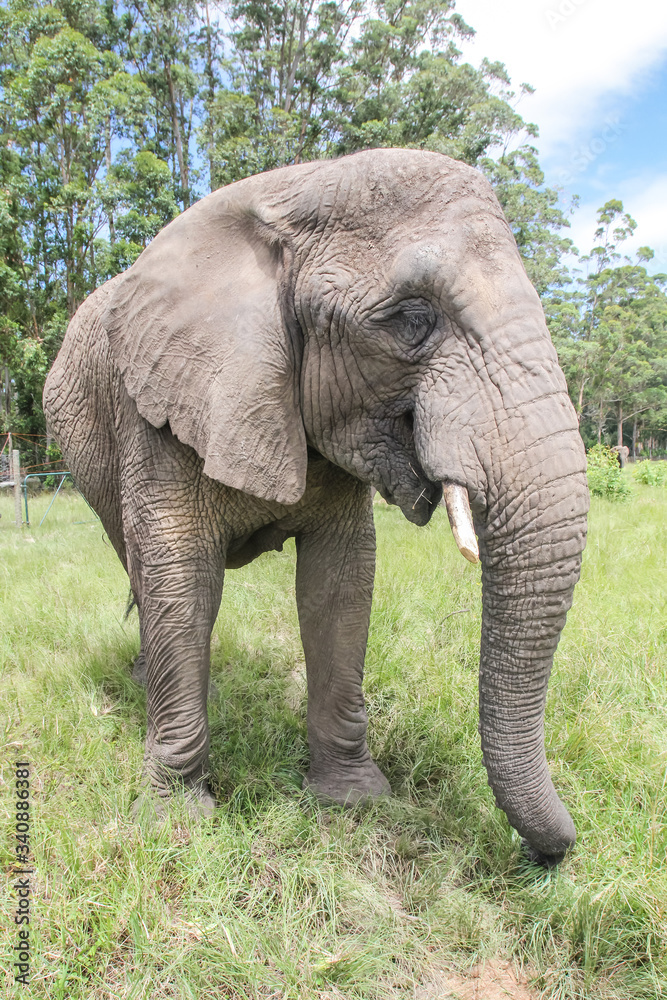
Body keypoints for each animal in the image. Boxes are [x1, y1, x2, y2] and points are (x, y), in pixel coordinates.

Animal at [44, 148, 588, 868]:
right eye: (412, 318)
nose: (550, 854)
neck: (293, 191)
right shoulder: (155, 408)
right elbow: (182, 580)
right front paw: (176, 823)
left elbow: (339, 583)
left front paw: (354, 799)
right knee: (135, 564)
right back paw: (143, 684)